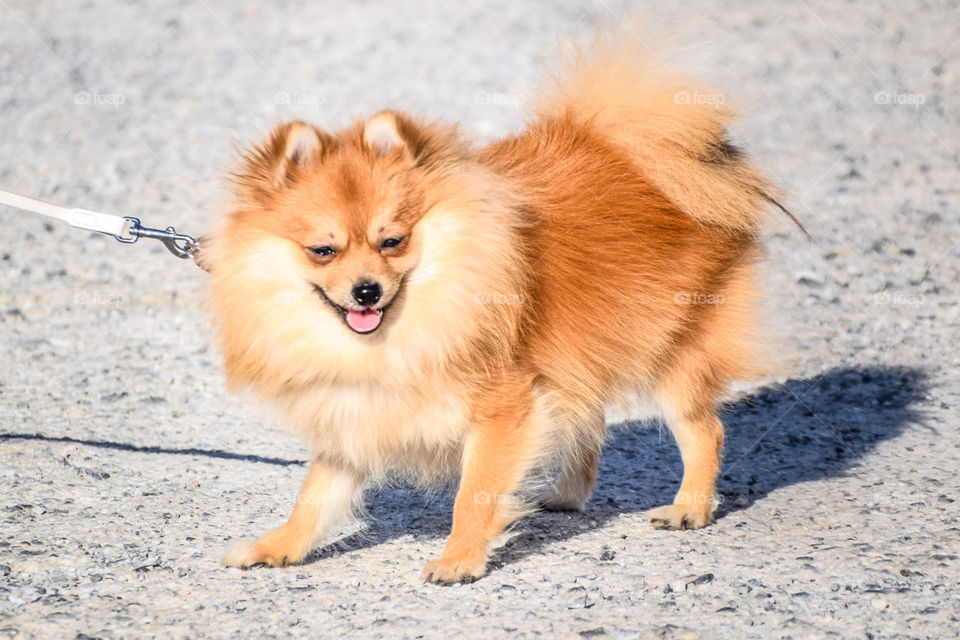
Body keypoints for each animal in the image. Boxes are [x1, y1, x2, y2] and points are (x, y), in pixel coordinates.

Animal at [206, 31, 800, 584]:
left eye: (392, 242)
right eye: (323, 251)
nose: (366, 291)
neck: (407, 329)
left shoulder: (502, 406)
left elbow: (474, 493)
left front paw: (460, 558)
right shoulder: (359, 413)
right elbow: (316, 494)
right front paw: (278, 546)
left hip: (670, 347)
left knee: (704, 430)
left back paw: (689, 508)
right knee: (587, 415)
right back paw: (565, 495)